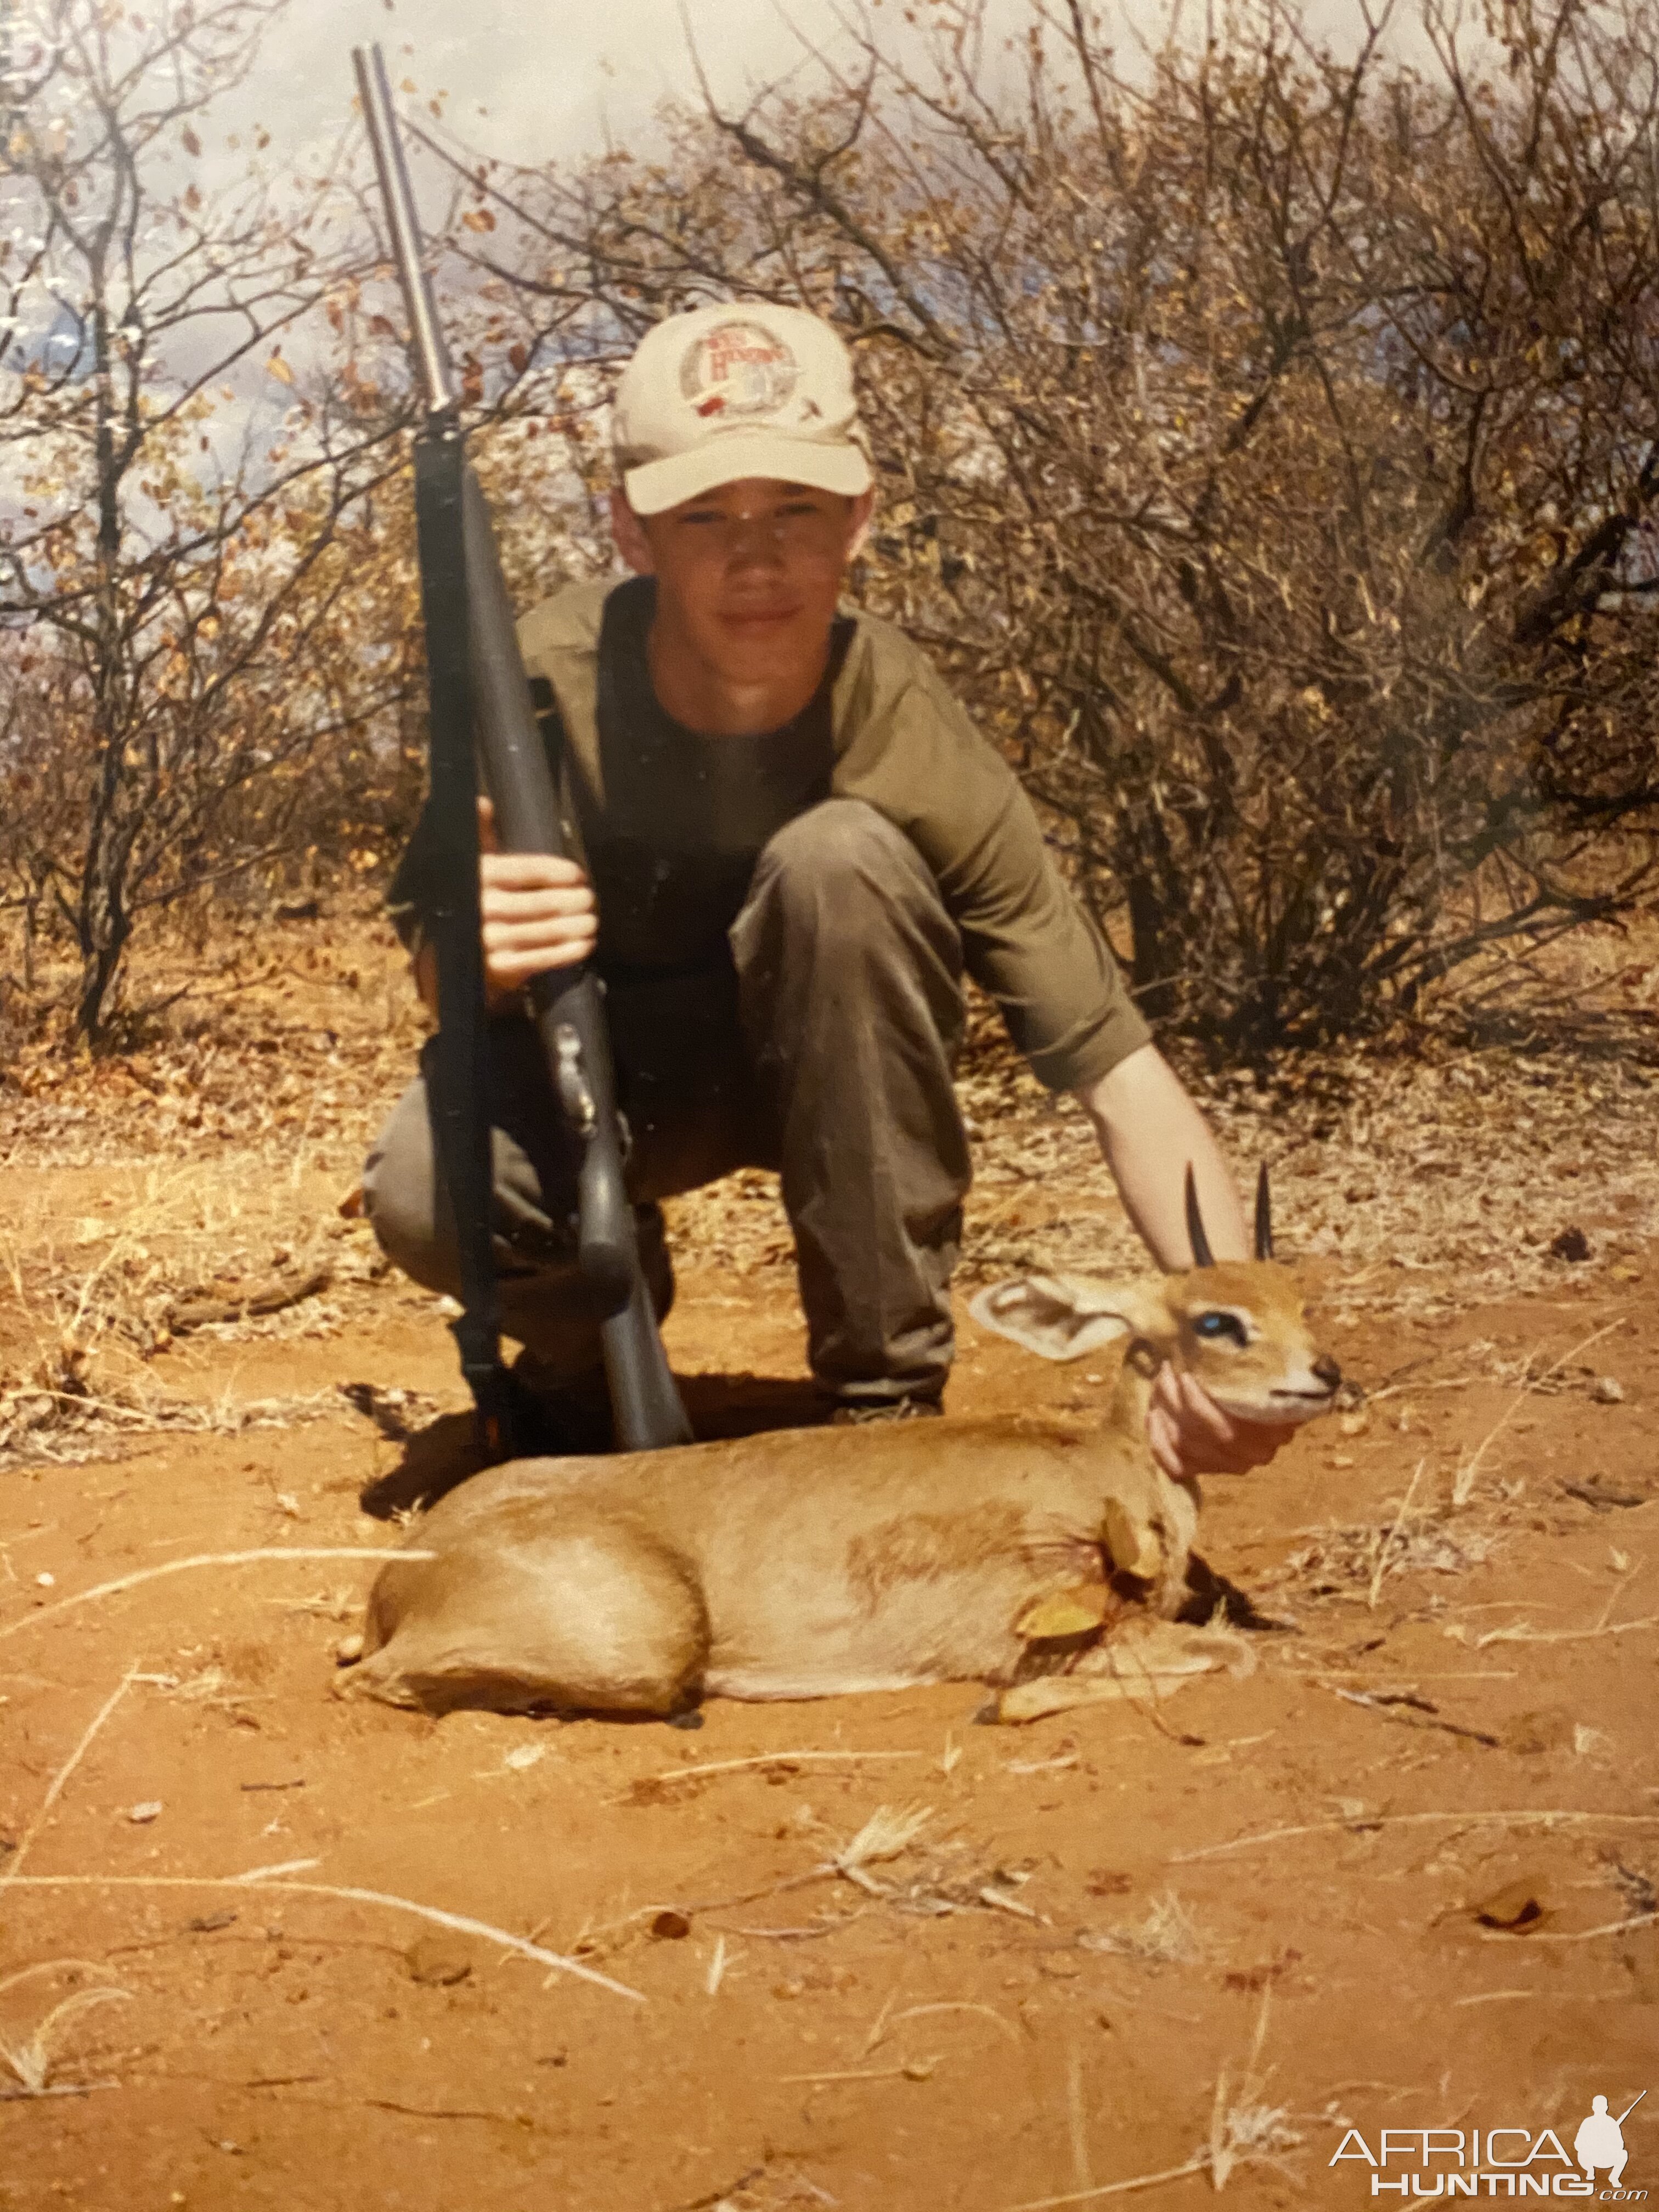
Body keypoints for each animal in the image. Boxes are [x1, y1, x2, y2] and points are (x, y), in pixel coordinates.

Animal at [347, 1167, 1336, 1716]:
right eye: (1216, 1320)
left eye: (1298, 1298)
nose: (1326, 1373)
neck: (1114, 1474)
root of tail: (398, 1579)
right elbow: (1231, 1655)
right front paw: (1012, 1707)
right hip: (648, 1641)